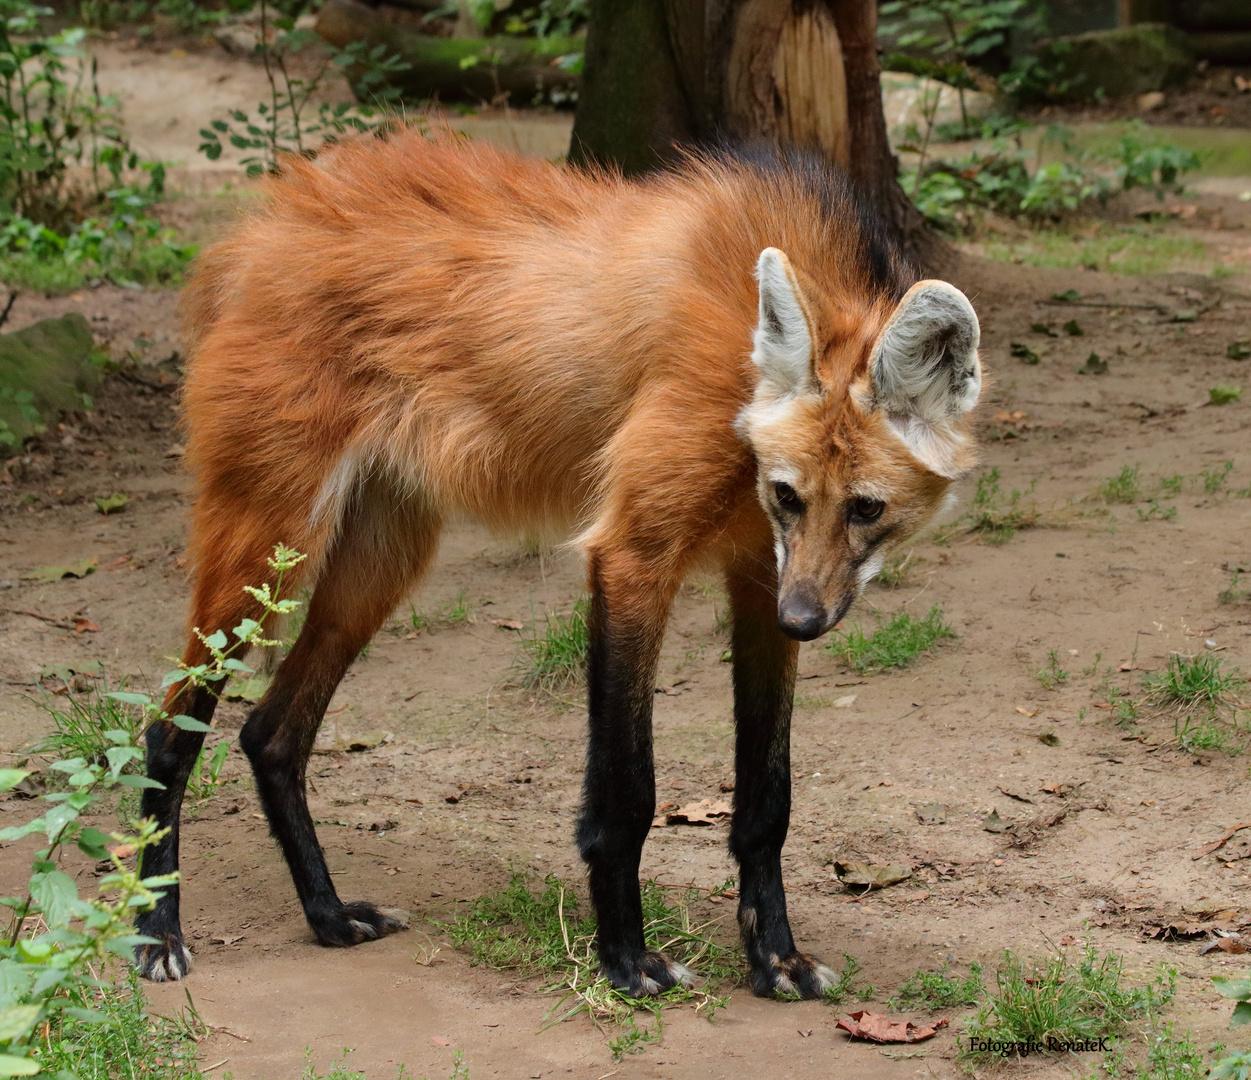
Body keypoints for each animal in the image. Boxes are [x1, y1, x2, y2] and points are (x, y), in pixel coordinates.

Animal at [136, 133, 975, 996]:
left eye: (865, 508)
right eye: (789, 494)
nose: (804, 621)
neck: (739, 383)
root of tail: (258, 231)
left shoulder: (761, 578)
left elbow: (766, 800)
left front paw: (776, 958)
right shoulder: (634, 559)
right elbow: (628, 791)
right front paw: (626, 959)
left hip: (378, 564)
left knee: (271, 735)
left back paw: (329, 917)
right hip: (271, 543)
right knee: (168, 728)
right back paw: (158, 932)